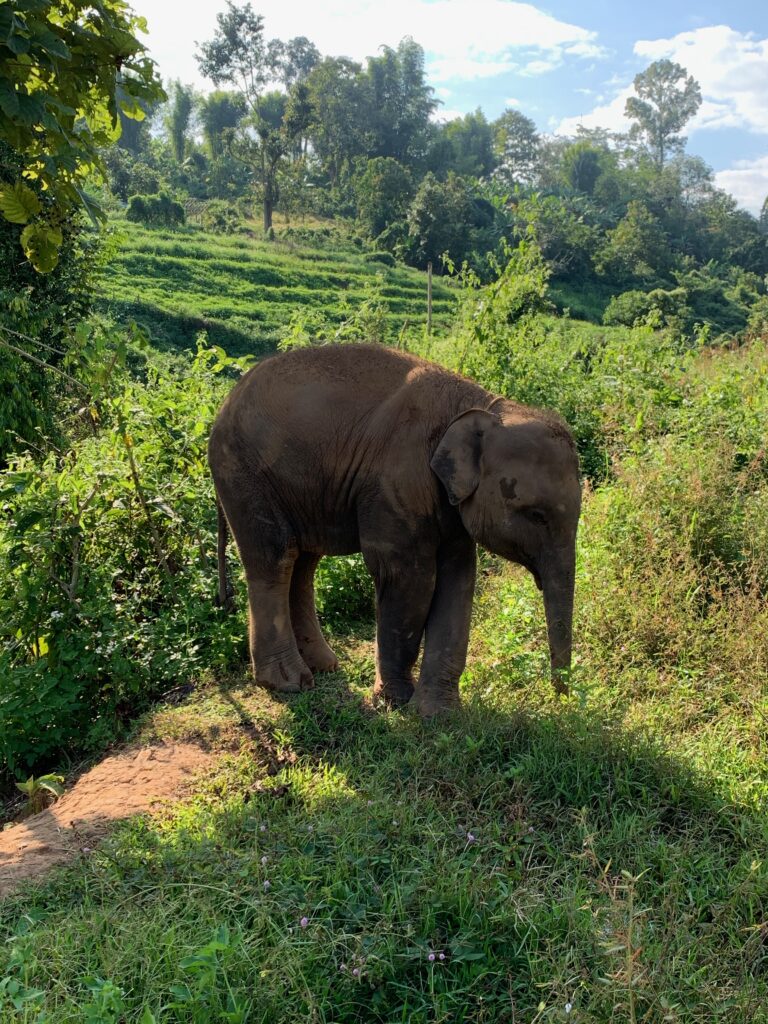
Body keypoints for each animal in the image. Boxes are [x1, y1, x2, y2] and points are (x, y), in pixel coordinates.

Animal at [207, 342, 581, 712]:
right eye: (537, 515)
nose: (560, 695)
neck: (482, 405)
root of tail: (224, 405)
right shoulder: (396, 482)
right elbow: (407, 577)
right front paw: (395, 701)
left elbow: (459, 577)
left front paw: (437, 713)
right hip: (244, 474)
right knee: (276, 558)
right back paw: (288, 683)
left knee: (303, 564)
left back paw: (324, 666)